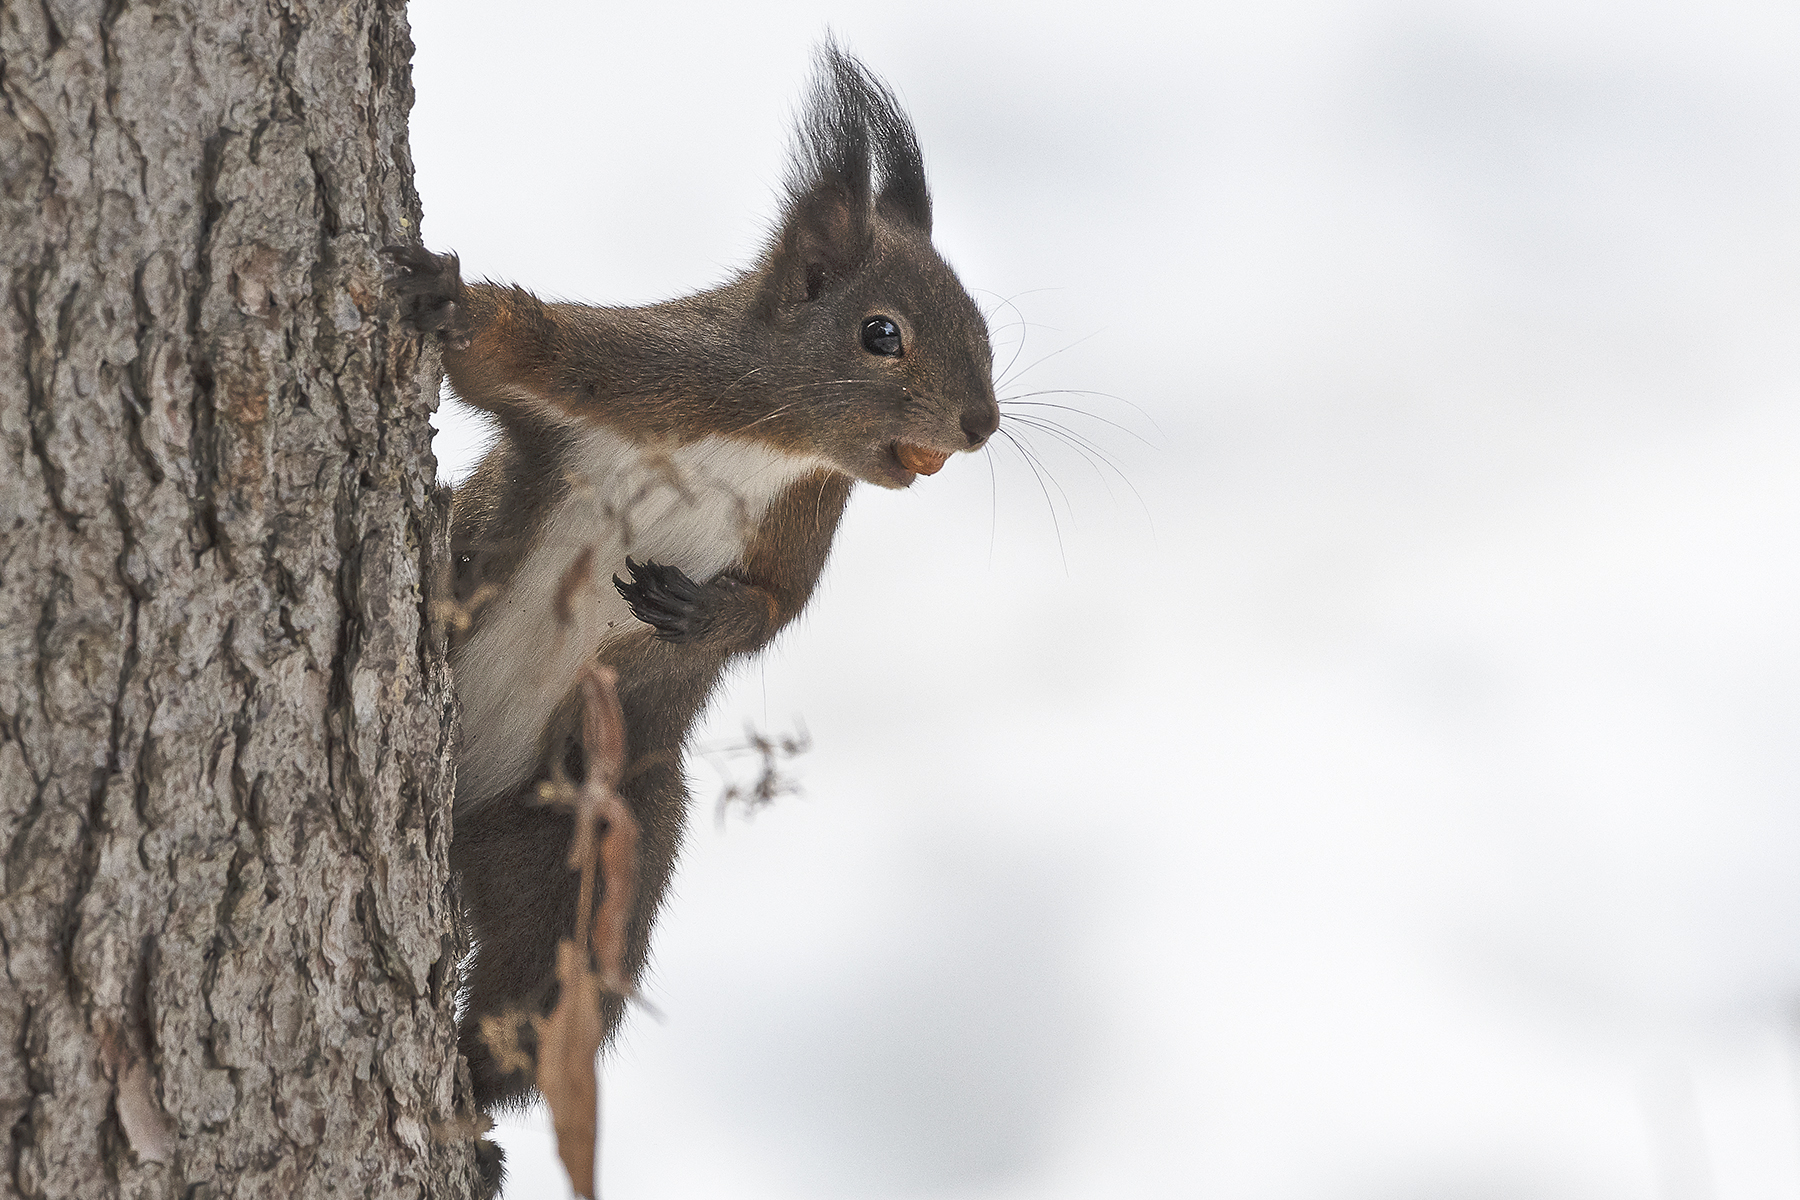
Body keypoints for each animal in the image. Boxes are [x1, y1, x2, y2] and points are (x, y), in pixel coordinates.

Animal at [383, 44, 1000, 1129]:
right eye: (881, 332)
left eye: (978, 316)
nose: (983, 423)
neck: (762, 442)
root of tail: (460, 833)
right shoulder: (633, 372)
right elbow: (518, 350)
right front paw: (448, 298)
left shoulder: (805, 517)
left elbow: (775, 607)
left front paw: (697, 610)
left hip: (605, 835)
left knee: (548, 981)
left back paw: (480, 1087)